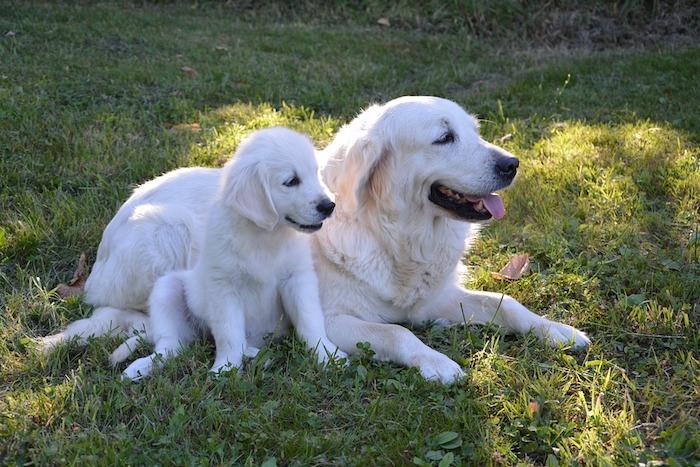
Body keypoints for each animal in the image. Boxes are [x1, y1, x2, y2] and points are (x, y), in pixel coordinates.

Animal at [39, 96, 592, 384]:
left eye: (473, 132)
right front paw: (439, 364)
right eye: (444, 137)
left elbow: (507, 303)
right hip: (163, 231)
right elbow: (398, 335)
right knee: (118, 313)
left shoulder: (432, 299)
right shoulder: (335, 317)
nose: (512, 164)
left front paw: (560, 332)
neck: (392, 233)